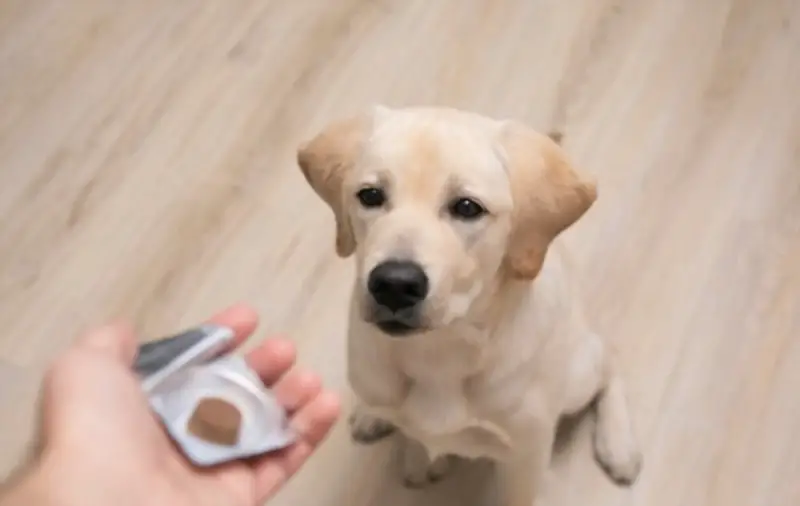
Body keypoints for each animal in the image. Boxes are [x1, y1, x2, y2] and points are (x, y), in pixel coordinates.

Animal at [296, 105, 640, 504]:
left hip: (579, 373)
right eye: (370, 196)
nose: (394, 285)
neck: (438, 351)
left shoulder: (525, 457)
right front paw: (418, 458)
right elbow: (414, 435)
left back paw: (618, 445)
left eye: (466, 207)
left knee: (610, 360)